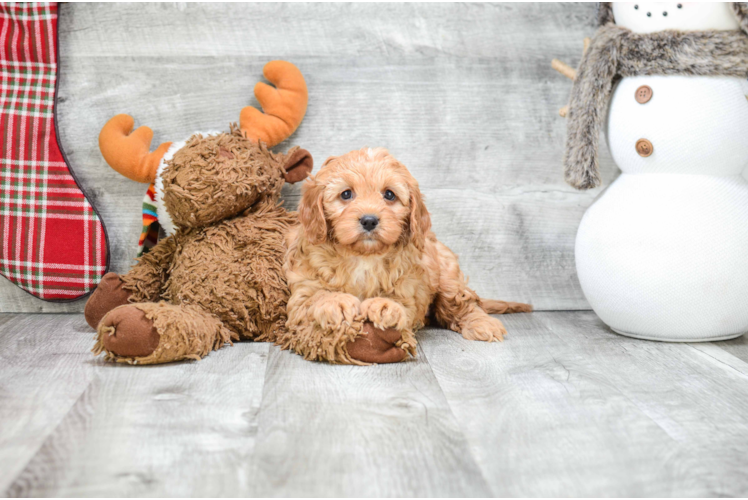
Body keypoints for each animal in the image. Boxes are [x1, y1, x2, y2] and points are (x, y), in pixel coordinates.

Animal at [280, 146, 532, 366]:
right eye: (346, 194)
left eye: (389, 195)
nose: (369, 220)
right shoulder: (301, 293)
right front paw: (336, 301)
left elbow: (401, 303)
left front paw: (385, 305)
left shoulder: (410, 286)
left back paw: (483, 324)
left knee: (464, 303)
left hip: (448, 278)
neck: (363, 256)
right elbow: (314, 297)